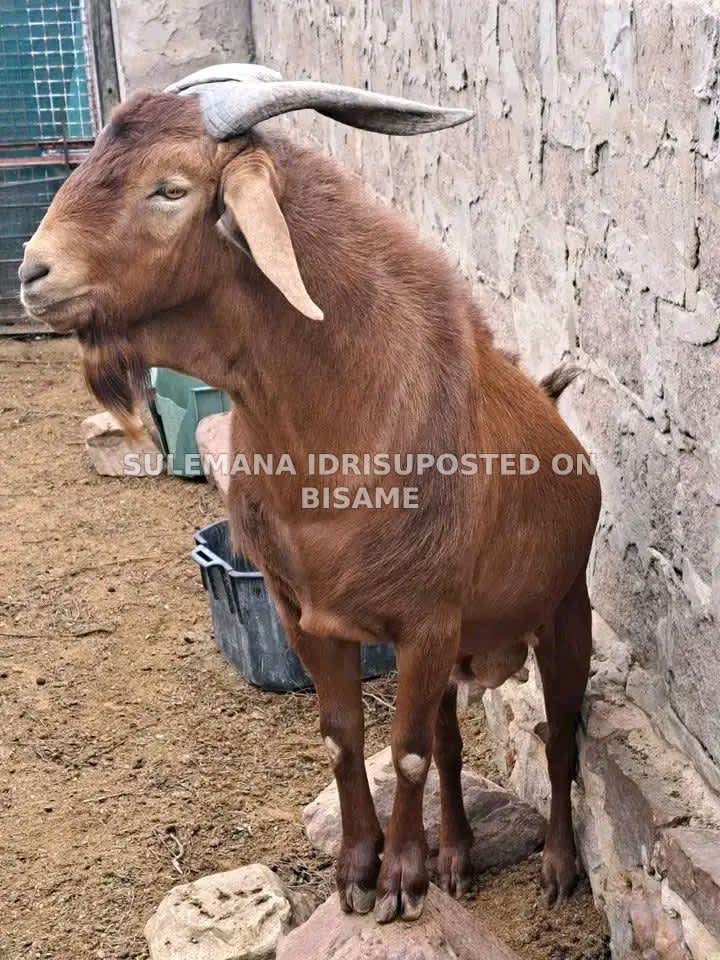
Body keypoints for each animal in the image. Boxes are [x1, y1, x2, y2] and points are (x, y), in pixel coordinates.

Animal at [20, 64, 601, 923]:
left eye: (170, 188)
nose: (31, 274)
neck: (340, 419)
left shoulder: (425, 623)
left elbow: (408, 752)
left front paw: (399, 881)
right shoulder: (304, 613)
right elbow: (344, 736)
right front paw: (359, 867)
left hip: (563, 612)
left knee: (559, 740)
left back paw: (557, 866)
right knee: (456, 741)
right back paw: (457, 855)